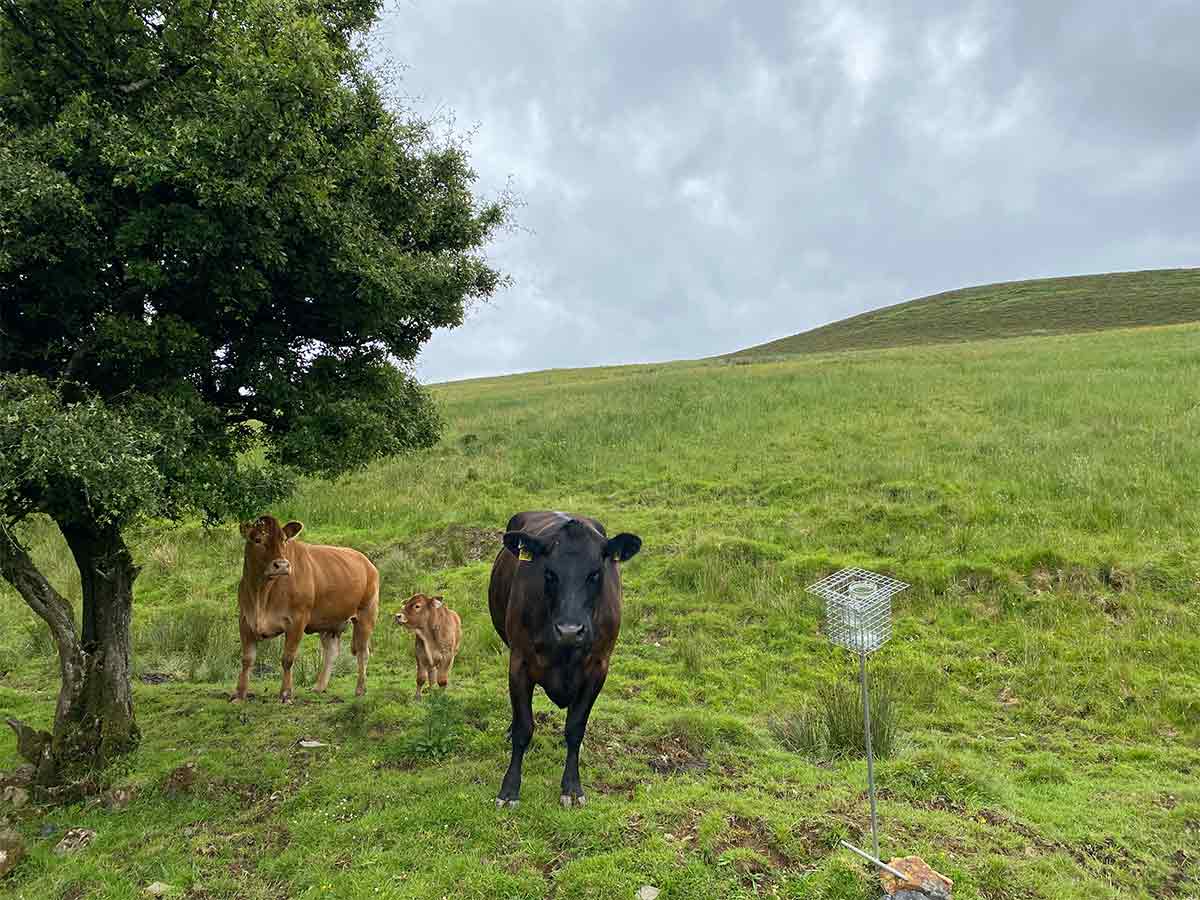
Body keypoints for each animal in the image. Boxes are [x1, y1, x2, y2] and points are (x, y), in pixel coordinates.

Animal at [231, 515, 379, 703]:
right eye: (257, 539)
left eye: (283, 540)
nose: (282, 565)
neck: (261, 594)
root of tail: (365, 561)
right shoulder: (245, 620)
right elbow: (247, 659)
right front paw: (239, 695)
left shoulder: (297, 621)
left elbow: (287, 658)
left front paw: (285, 695)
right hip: (330, 622)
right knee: (331, 651)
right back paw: (319, 687)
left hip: (366, 614)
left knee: (362, 652)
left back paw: (360, 689)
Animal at [488, 511, 642, 808]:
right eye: (549, 573)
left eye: (595, 573)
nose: (570, 630)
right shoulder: (519, 662)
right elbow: (524, 727)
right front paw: (509, 789)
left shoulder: (598, 668)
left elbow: (575, 728)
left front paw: (571, 787)